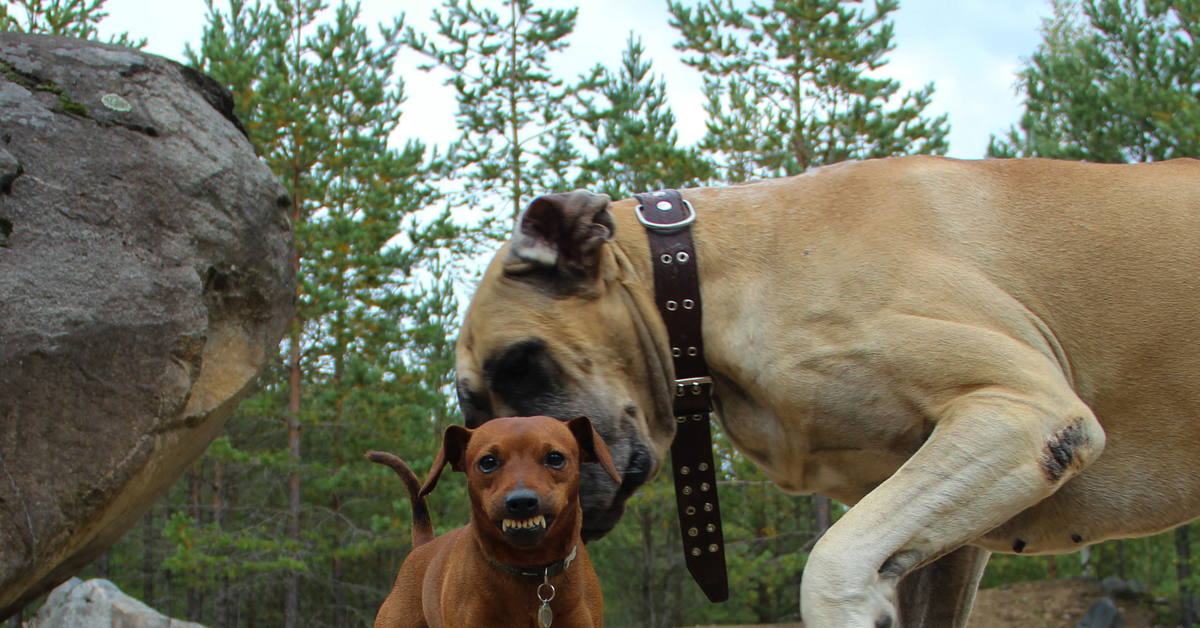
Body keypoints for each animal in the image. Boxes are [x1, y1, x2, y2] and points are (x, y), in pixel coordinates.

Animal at [451, 153, 1200, 628]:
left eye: (520, 365)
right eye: (472, 412)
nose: (515, 505)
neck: (709, 275)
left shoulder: (1020, 411)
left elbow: (833, 569)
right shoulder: (947, 540)